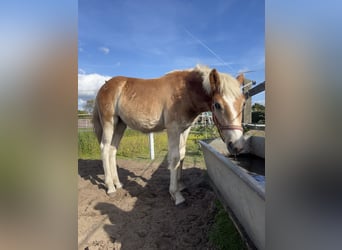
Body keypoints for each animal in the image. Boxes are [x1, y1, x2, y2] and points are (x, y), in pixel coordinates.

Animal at [92, 64, 244, 205]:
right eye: (217, 105)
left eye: (243, 103)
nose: (237, 145)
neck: (185, 92)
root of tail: (104, 86)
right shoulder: (173, 129)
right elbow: (175, 157)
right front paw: (175, 194)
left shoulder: (184, 129)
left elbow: (182, 154)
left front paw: (181, 185)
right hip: (109, 123)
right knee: (104, 148)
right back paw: (110, 187)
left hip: (120, 125)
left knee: (112, 150)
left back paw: (118, 183)